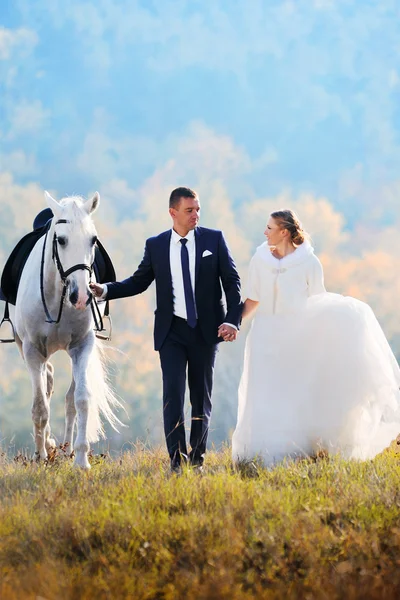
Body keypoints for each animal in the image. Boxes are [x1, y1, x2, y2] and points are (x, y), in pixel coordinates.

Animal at [14, 192, 121, 468]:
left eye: (93, 239)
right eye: (61, 240)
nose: (81, 296)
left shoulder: (81, 346)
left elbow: (81, 400)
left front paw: (81, 459)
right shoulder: (32, 350)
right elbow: (40, 407)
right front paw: (41, 456)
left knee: (65, 395)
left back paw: (67, 449)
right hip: (27, 348)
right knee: (46, 381)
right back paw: (46, 446)